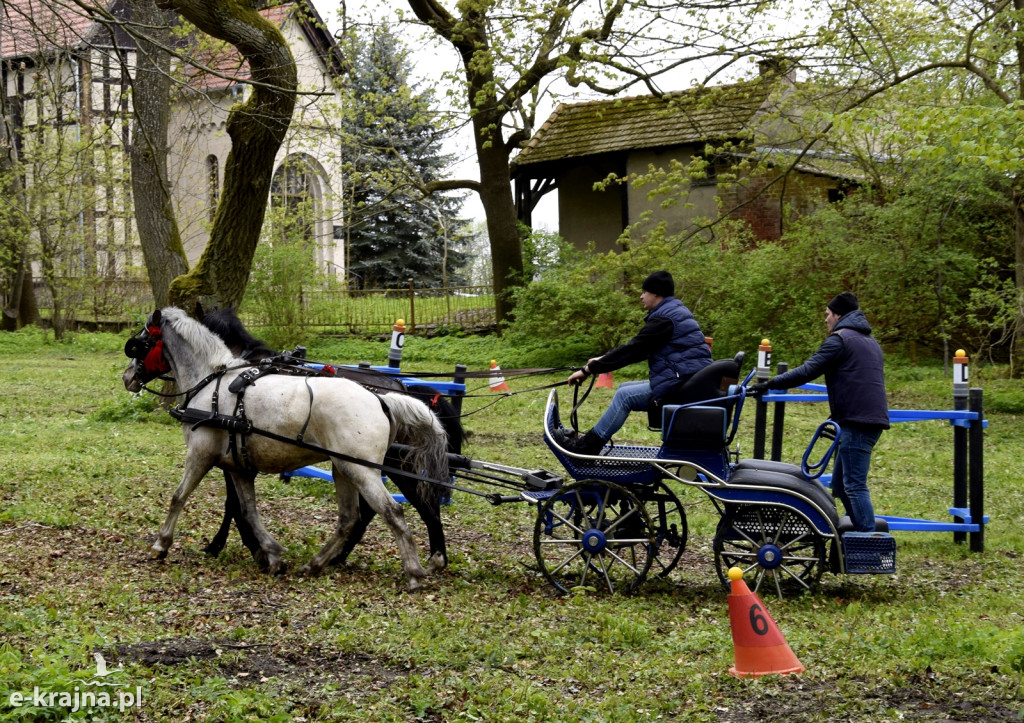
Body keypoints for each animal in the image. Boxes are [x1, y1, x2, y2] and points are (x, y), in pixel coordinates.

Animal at [122, 307, 448, 589]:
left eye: (139, 343)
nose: (127, 377)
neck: (212, 380)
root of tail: (380, 397)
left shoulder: (200, 455)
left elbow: (179, 497)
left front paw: (161, 544)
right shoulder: (238, 467)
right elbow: (248, 510)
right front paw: (272, 554)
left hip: (363, 470)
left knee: (394, 511)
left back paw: (414, 572)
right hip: (343, 468)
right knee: (350, 519)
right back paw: (317, 564)